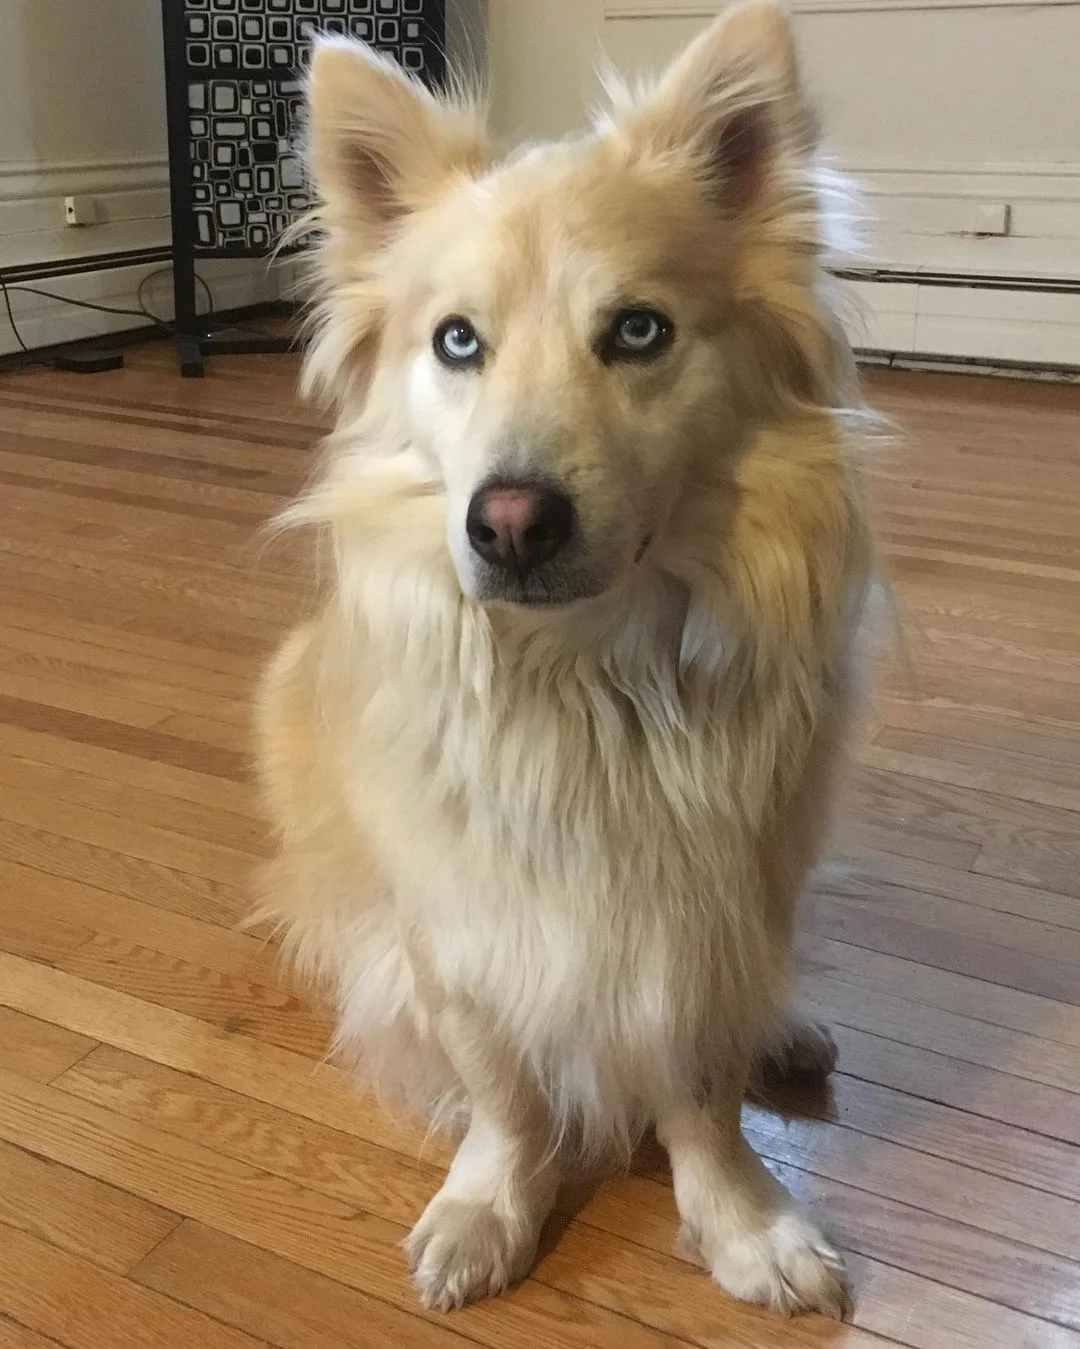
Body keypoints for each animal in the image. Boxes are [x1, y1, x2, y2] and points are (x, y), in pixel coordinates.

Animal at [258, 5, 873, 1322]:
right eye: (456, 342)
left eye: (638, 331)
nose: (509, 522)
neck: (586, 675)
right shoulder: (458, 924)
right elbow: (505, 1090)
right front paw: (494, 1199)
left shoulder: (709, 912)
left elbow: (701, 1089)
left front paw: (740, 1217)